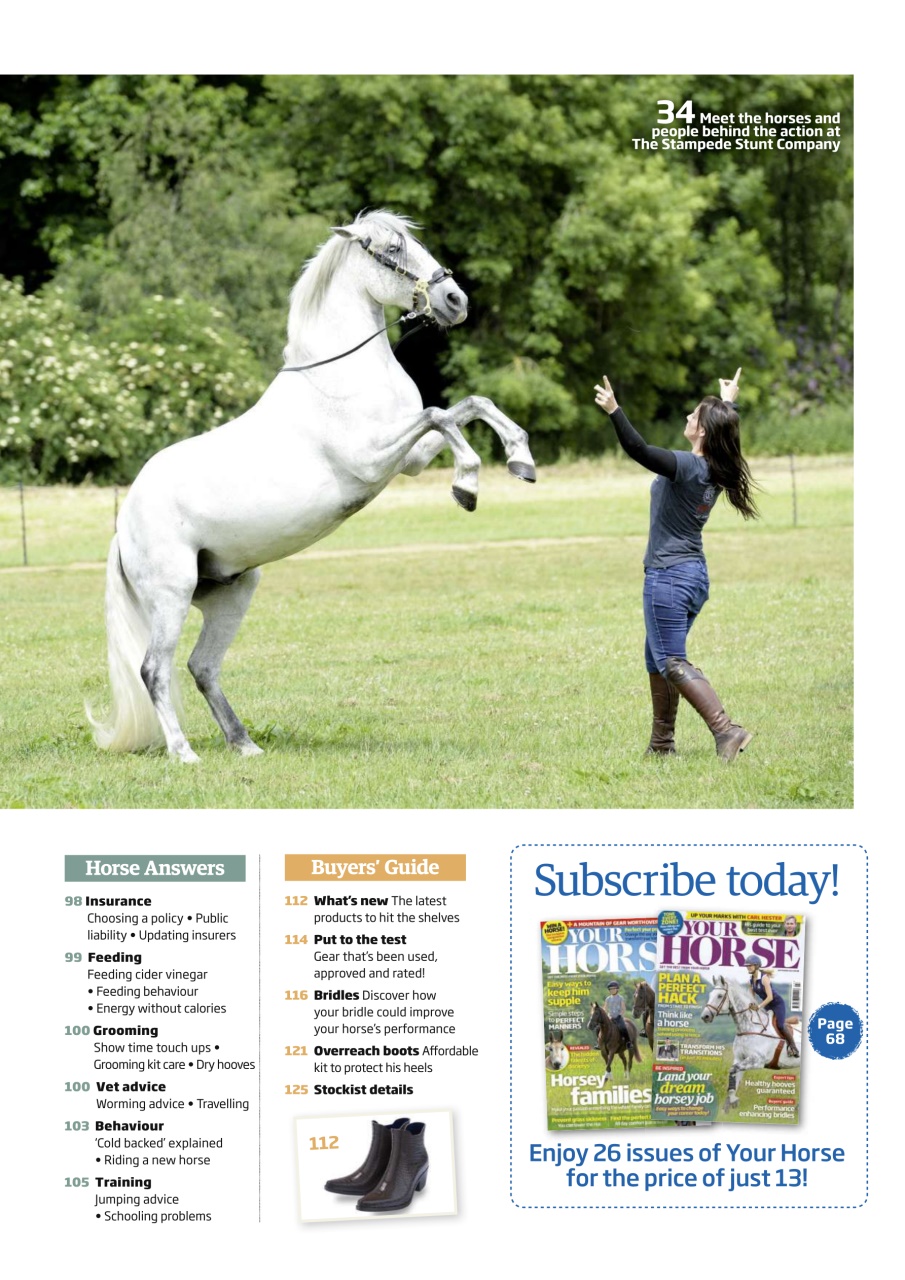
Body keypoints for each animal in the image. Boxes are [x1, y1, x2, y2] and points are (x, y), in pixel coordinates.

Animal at [88, 210, 537, 762]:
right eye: (391, 249)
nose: (456, 301)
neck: (342, 377)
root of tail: (122, 528)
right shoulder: (374, 458)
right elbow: (441, 414)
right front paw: (467, 484)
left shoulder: (408, 458)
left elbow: (469, 406)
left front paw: (520, 458)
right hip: (171, 597)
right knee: (154, 669)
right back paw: (184, 752)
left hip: (232, 593)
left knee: (202, 666)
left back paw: (245, 745)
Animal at [701, 976, 802, 1113]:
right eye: (711, 994)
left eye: (720, 995)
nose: (705, 1016)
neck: (749, 1027)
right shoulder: (739, 1058)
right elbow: (733, 1075)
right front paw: (728, 1105)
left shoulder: (757, 1061)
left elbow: (733, 1070)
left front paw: (733, 1101)